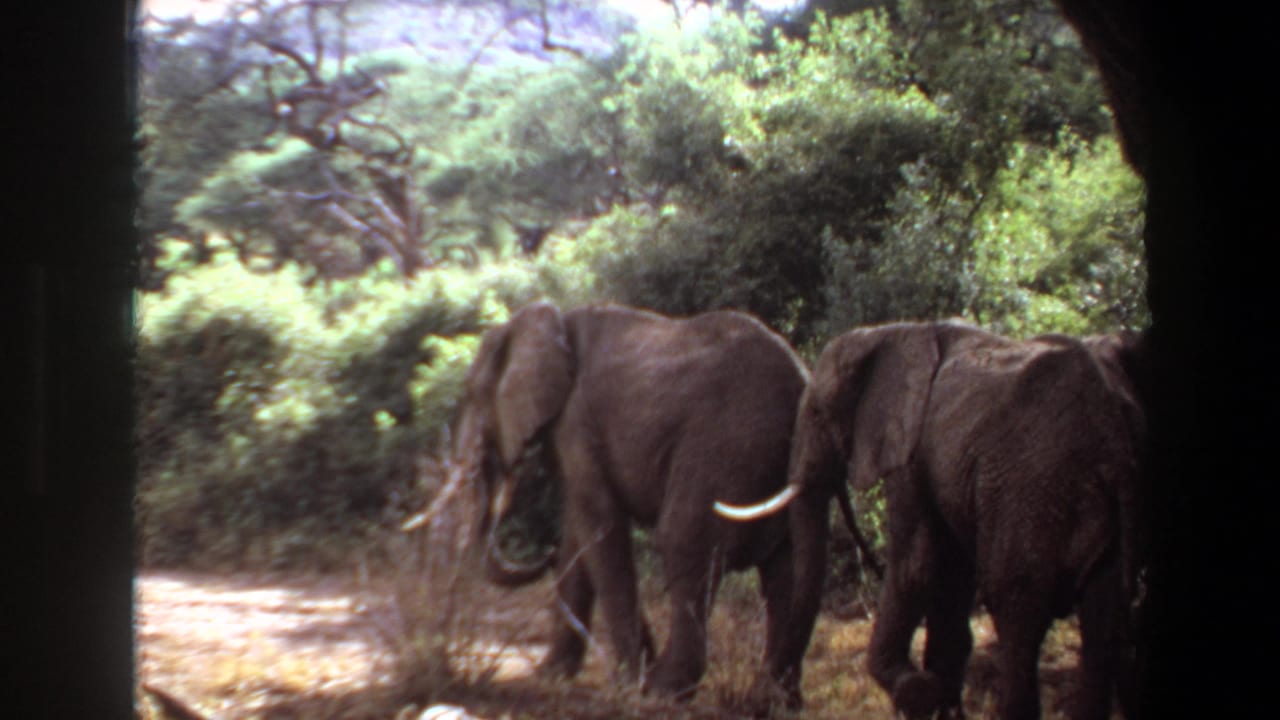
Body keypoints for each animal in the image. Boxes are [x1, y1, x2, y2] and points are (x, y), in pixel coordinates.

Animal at [437, 301, 816, 704]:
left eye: (472, 395)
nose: (543, 556)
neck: (550, 319)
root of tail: (800, 379)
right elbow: (579, 534)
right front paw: (550, 675)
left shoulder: (577, 422)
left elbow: (601, 527)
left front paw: (628, 680)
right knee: (784, 569)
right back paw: (776, 699)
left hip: (726, 446)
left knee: (683, 541)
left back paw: (664, 689)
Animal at [716, 320, 1147, 720]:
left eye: (819, 413)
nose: (783, 699)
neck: (891, 333)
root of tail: (1114, 443)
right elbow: (950, 579)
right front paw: (939, 703)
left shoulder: (912, 451)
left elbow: (916, 566)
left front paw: (916, 692)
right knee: (1102, 622)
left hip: (1036, 491)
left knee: (1015, 606)